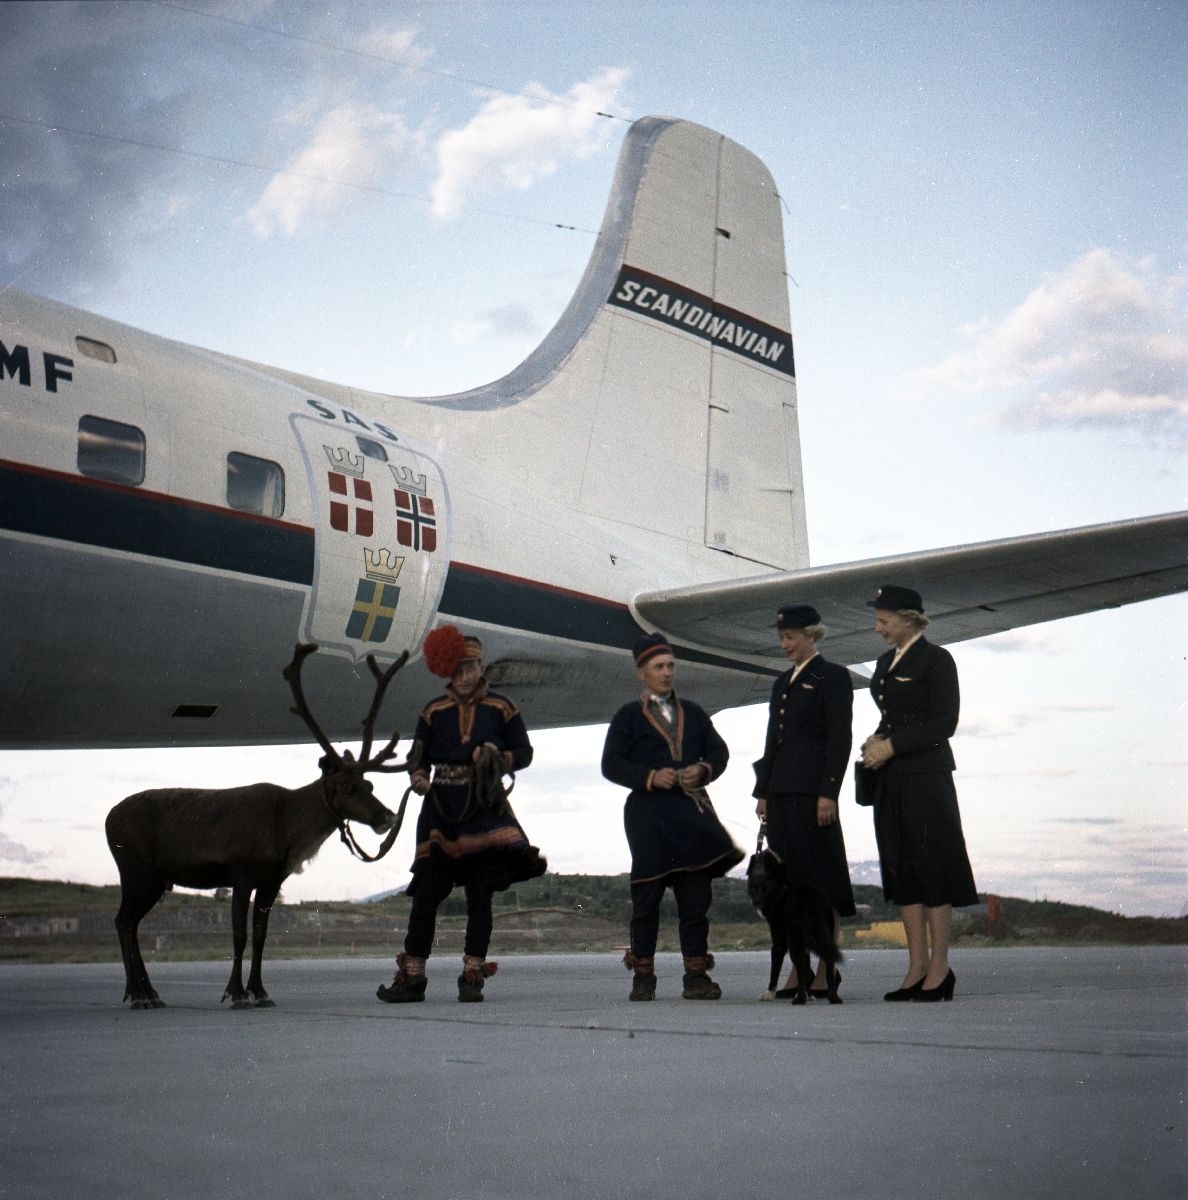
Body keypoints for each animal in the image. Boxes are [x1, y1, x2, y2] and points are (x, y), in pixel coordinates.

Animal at [744, 849, 844, 1008]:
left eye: (766, 889)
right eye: (753, 889)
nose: (756, 903)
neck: (781, 894)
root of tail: (811, 896)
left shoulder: (779, 945)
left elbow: (776, 972)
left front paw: (769, 994)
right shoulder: (806, 945)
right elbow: (807, 971)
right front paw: (810, 995)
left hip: (794, 942)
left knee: (801, 972)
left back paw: (799, 999)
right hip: (826, 935)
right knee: (829, 967)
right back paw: (833, 998)